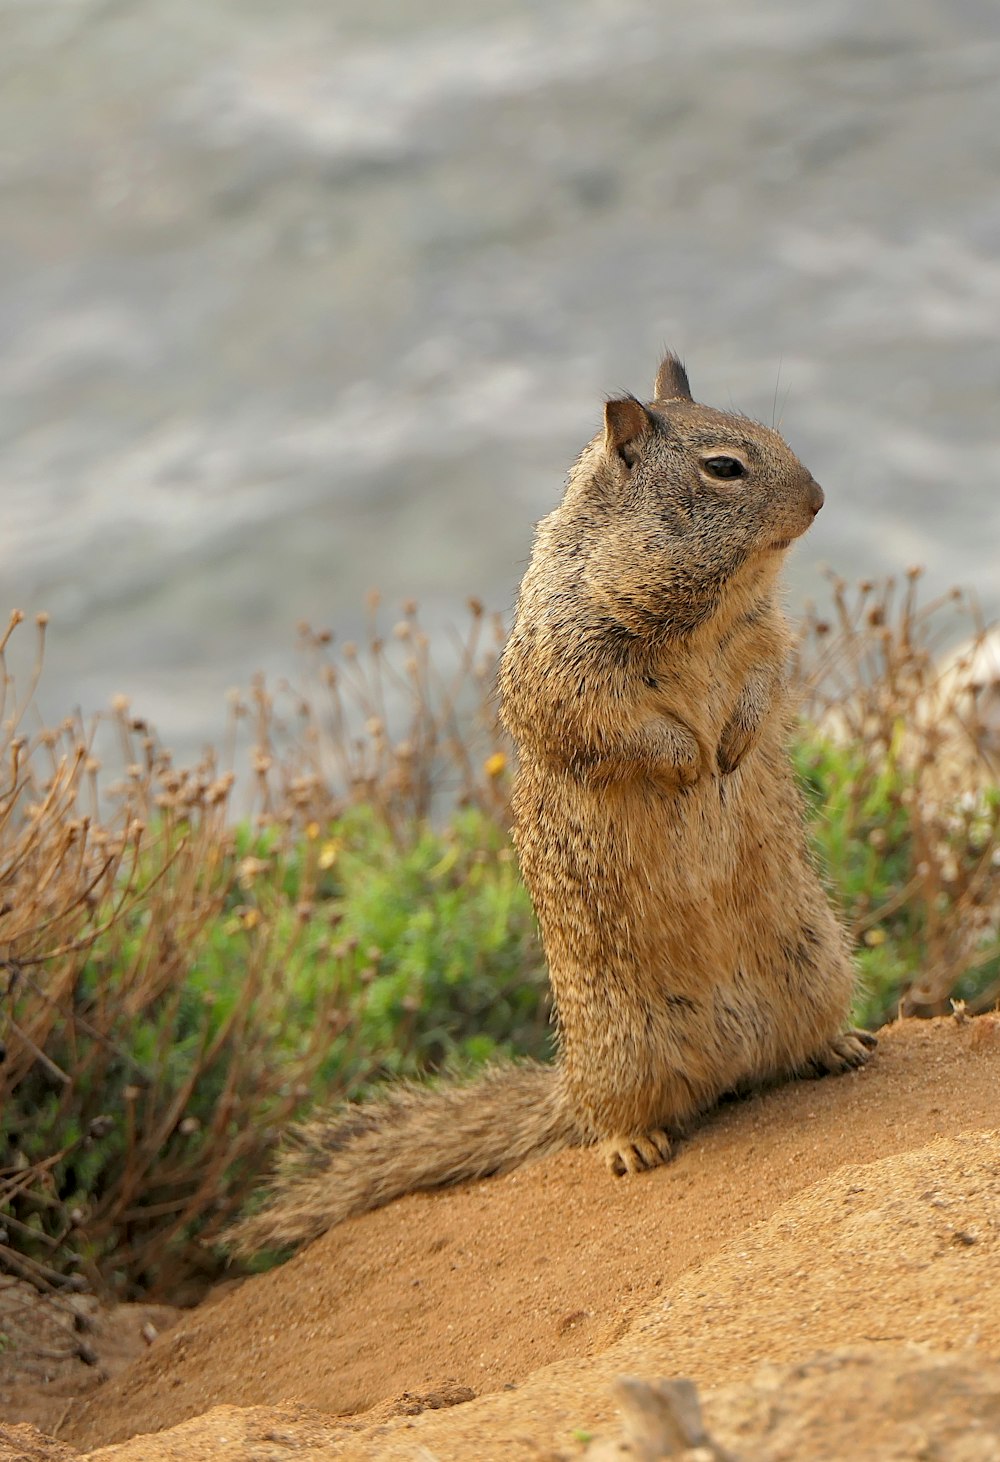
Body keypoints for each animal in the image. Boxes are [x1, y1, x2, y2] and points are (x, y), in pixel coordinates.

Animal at [230, 347, 871, 1251]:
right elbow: (612, 730)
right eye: (724, 467)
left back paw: (834, 1049)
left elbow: (768, 682)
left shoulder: (763, 637)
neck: (707, 608)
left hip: (818, 962)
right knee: (613, 1121)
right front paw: (688, 764)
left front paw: (732, 746)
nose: (817, 497)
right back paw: (633, 1144)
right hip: (626, 1045)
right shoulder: (572, 670)